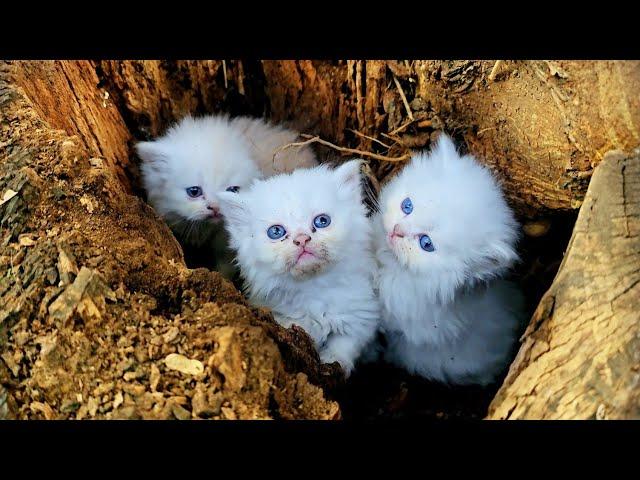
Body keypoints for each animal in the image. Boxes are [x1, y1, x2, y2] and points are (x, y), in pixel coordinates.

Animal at [220, 161, 380, 376]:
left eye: (322, 221)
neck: (313, 288)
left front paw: (333, 363)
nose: (302, 239)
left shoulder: (359, 316)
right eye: (276, 232)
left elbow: (345, 344)